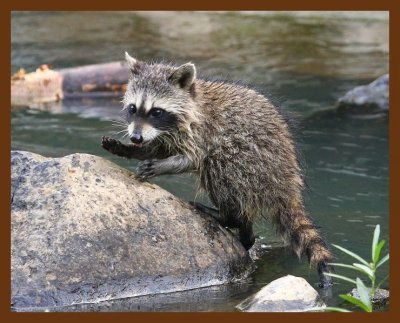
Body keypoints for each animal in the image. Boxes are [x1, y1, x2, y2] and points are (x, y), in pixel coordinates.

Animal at [101, 52, 332, 288]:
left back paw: (230, 218)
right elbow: (157, 148)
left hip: (252, 164)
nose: (135, 137)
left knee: (218, 166)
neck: (192, 103)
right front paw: (129, 149)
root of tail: (287, 181)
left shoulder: (201, 131)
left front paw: (161, 166)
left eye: (156, 112)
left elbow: (192, 159)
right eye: (133, 108)